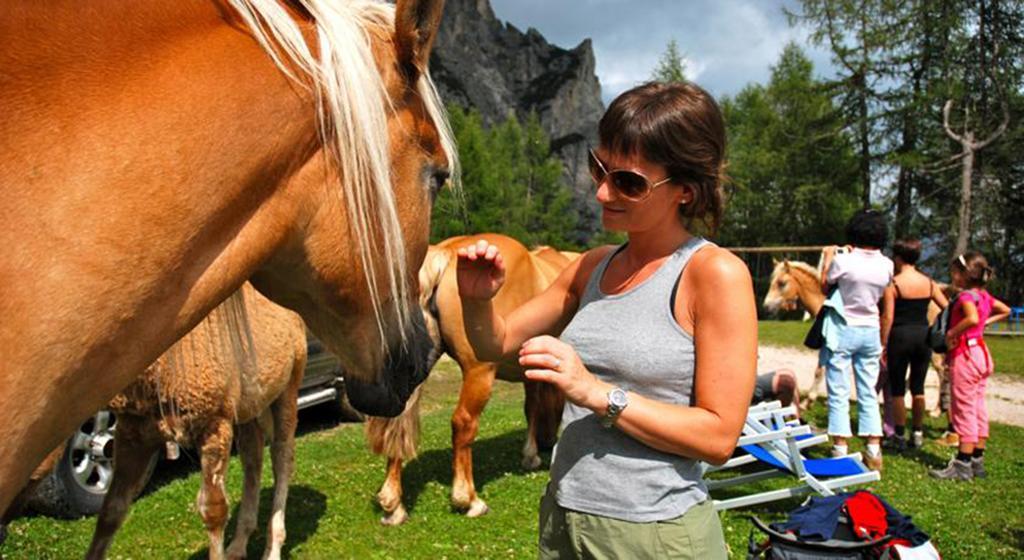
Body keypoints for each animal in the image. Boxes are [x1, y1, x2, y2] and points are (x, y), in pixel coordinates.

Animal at [86, 284, 303, 560]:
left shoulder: (214, 423)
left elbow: (213, 510)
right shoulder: (133, 431)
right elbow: (111, 511)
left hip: (288, 386)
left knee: (282, 456)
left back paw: (272, 549)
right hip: (249, 407)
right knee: (252, 459)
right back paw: (237, 546)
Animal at [364, 235, 569, 524]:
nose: (548, 441)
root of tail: (446, 254)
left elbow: (531, 407)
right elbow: (535, 406)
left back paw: (393, 505)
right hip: (479, 371)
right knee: (463, 423)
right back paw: (468, 499)